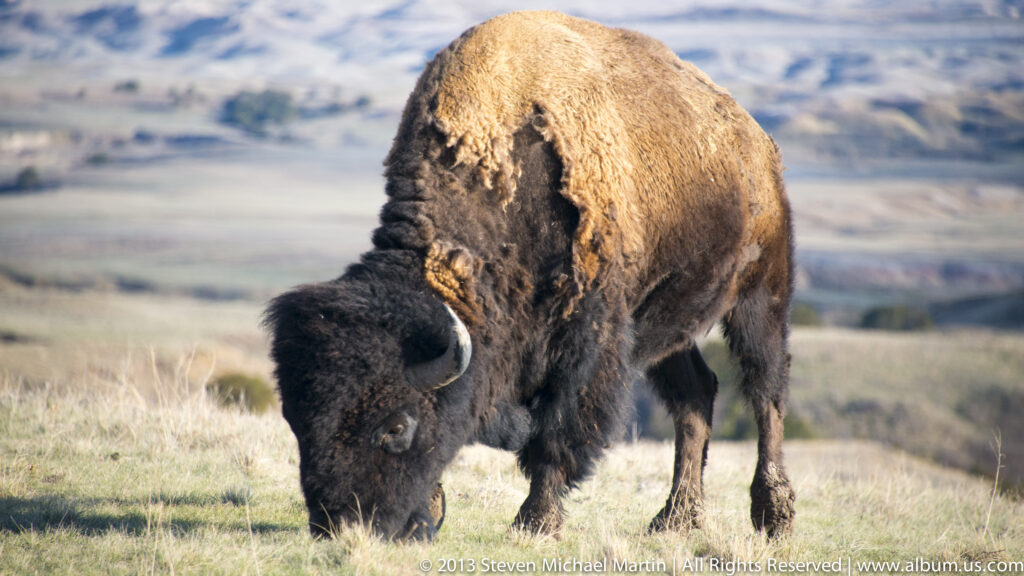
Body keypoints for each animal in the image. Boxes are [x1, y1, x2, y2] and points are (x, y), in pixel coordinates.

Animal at [265, 10, 795, 541]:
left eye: (396, 426)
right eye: (297, 421)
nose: (339, 524)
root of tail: (755, 140)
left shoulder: (587, 342)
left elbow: (555, 434)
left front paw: (535, 521)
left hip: (762, 293)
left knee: (765, 392)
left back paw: (773, 516)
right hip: (666, 325)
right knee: (696, 398)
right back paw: (675, 521)